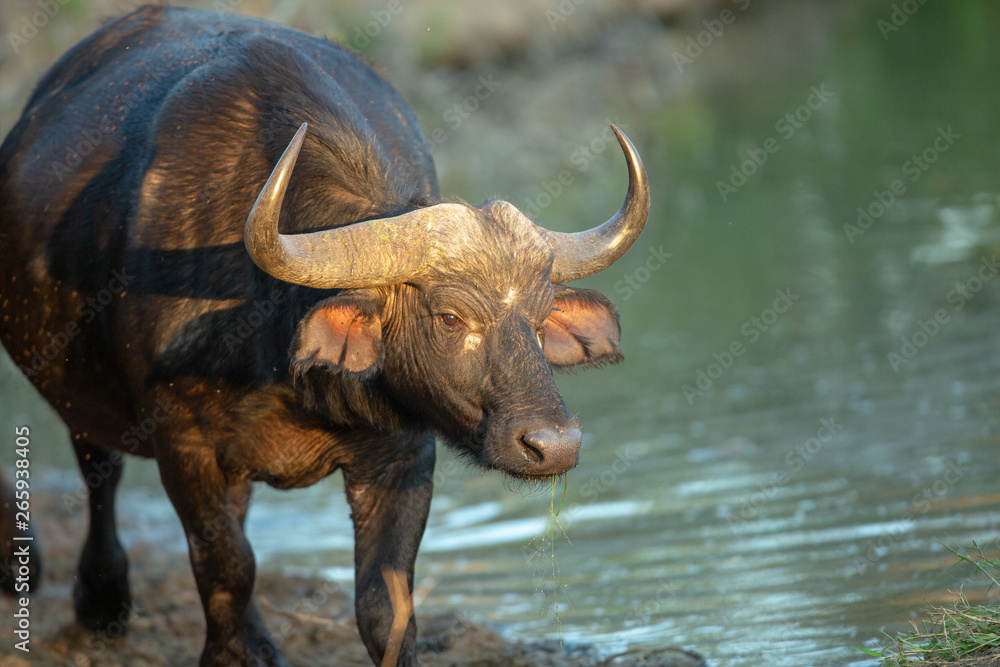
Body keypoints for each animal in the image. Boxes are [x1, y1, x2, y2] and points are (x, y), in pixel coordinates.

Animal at [0, 6, 648, 667]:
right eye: (449, 317)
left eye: (540, 318)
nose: (555, 445)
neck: (282, 361)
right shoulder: (182, 444)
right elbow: (228, 566)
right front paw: (234, 651)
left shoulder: (401, 452)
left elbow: (386, 604)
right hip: (85, 396)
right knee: (99, 472)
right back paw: (92, 598)